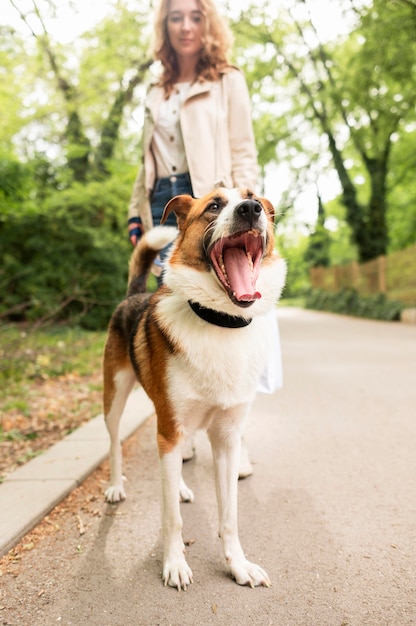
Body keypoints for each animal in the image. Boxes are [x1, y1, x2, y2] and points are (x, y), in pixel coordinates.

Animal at [103, 188, 288, 588]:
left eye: (252, 196)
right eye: (215, 205)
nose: (250, 209)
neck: (220, 321)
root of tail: (132, 295)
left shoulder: (226, 439)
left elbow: (229, 516)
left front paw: (238, 564)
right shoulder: (170, 428)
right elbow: (171, 518)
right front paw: (174, 563)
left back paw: (180, 487)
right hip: (115, 401)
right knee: (114, 444)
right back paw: (115, 486)